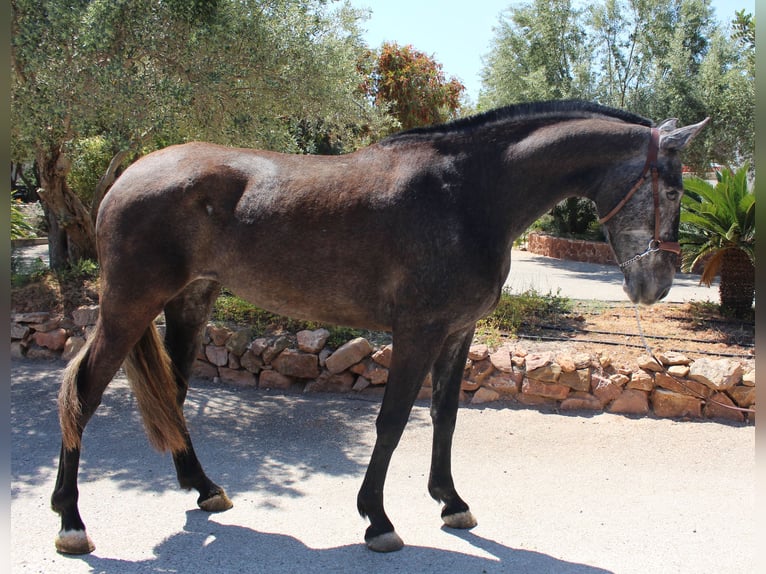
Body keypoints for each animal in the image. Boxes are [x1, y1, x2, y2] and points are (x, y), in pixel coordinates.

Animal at [52, 101, 708, 556]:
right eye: (675, 190)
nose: (658, 284)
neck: (467, 195)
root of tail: (125, 178)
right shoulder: (417, 331)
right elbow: (392, 422)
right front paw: (378, 519)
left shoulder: (457, 332)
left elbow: (445, 416)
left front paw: (451, 503)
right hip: (130, 306)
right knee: (83, 392)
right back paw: (71, 521)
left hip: (191, 302)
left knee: (175, 395)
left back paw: (203, 488)